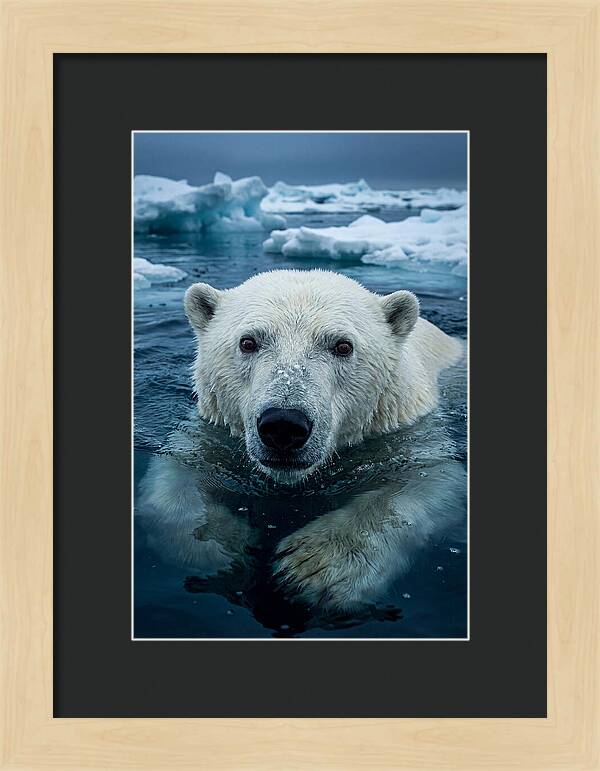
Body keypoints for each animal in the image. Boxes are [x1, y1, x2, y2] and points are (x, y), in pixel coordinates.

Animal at [138, 269, 466, 620]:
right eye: (248, 341)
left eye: (343, 345)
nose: (283, 425)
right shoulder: (211, 432)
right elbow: (175, 477)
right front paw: (222, 548)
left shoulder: (409, 432)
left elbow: (429, 481)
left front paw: (313, 566)